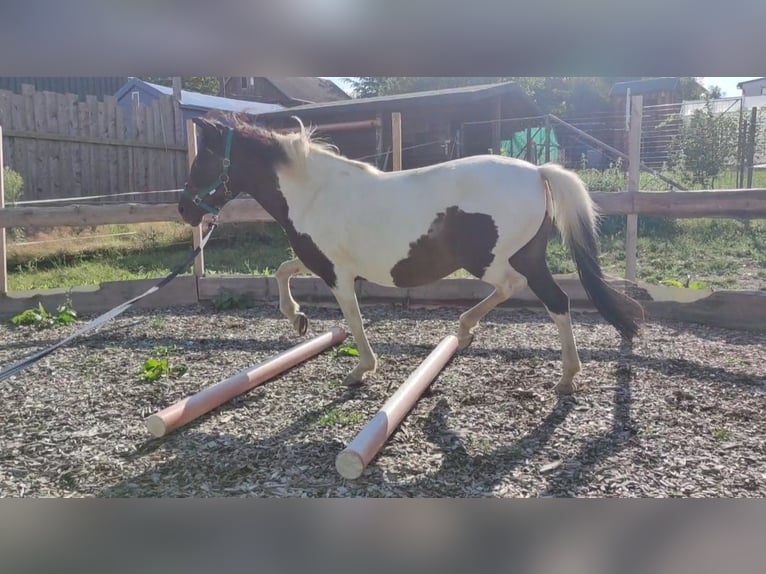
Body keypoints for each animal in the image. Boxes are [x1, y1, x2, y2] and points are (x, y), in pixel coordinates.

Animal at [178, 117, 640, 396]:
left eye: (201, 162)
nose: (184, 210)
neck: (313, 192)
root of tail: (538, 171)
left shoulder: (337, 274)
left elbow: (353, 319)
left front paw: (362, 369)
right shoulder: (324, 263)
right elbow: (281, 271)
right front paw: (298, 319)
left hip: (500, 261)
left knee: (541, 297)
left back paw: (563, 375)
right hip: (519, 258)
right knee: (543, 298)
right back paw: (474, 333)